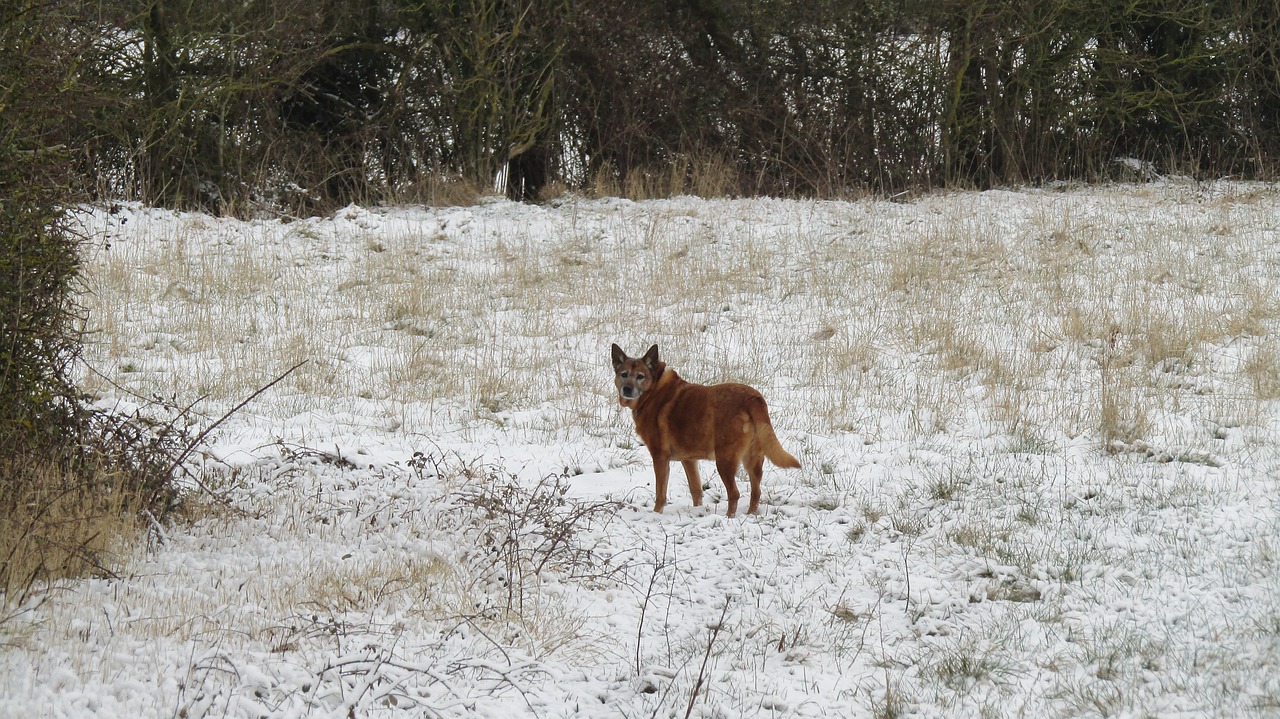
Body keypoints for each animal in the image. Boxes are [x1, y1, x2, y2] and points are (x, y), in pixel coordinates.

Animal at [609, 342, 798, 514]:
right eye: (624, 374)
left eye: (640, 376)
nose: (627, 388)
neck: (652, 391)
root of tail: (753, 398)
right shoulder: (689, 460)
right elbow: (696, 490)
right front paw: (697, 511)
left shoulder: (660, 457)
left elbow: (660, 494)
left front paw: (656, 514)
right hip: (753, 459)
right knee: (756, 492)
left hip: (724, 460)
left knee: (735, 494)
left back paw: (729, 518)